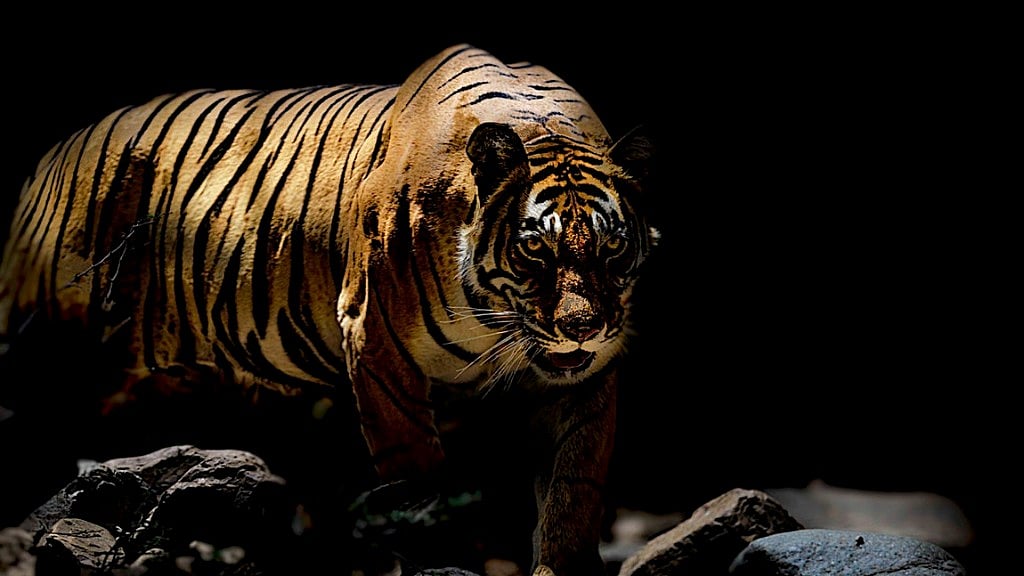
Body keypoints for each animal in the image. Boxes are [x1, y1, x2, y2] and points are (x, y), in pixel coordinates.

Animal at [0, 43, 657, 575]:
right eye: (535, 249)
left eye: (612, 247)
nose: (582, 328)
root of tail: (50, 156)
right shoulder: (377, 345)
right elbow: (417, 483)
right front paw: (435, 558)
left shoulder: (588, 379)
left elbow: (574, 481)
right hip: (42, 342)